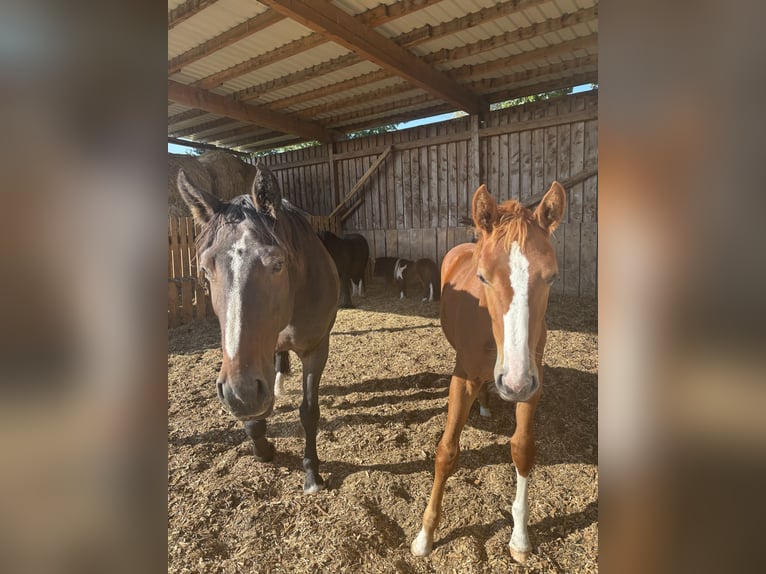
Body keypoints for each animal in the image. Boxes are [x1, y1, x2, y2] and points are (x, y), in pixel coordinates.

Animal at [176, 163, 340, 494]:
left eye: (277, 264)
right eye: (205, 270)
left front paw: (311, 472)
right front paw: (264, 449)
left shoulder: (317, 349)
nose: (241, 393)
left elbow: (309, 411)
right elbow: (255, 417)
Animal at [411, 181, 565, 561]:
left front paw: (520, 538)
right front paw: (425, 536)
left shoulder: (532, 381)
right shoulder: (462, 379)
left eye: (552, 277)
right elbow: (446, 452)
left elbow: (522, 449)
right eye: (483, 277)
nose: (513, 383)